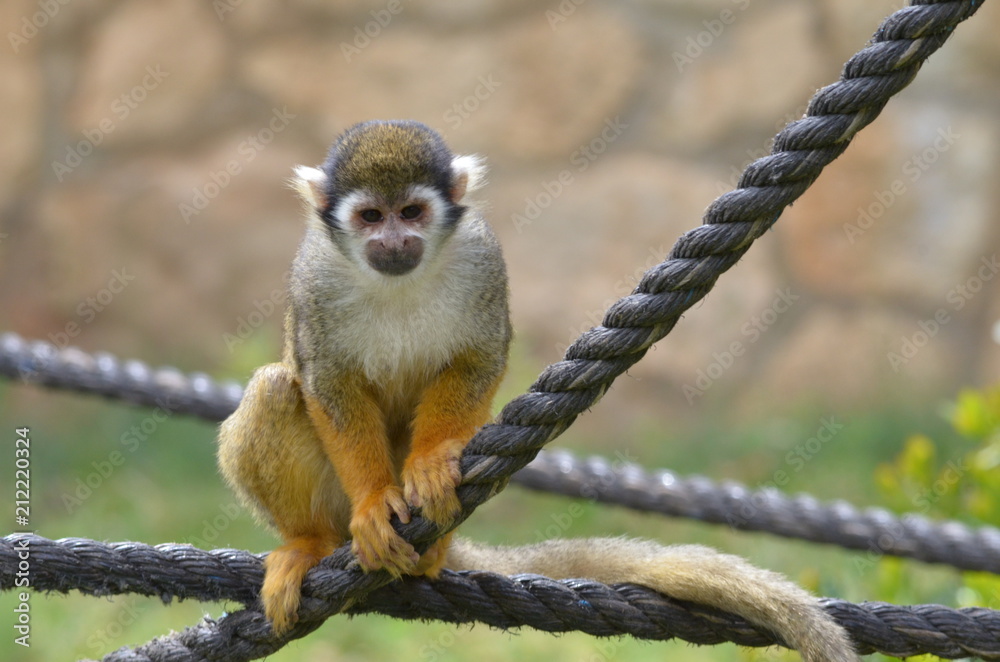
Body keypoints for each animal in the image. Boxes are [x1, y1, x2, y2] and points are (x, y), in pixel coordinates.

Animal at [217, 120, 859, 662]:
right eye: (371, 216)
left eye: (412, 212)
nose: (394, 241)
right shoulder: (315, 278)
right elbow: (326, 380)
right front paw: (376, 500)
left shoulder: (481, 257)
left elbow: (479, 356)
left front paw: (431, 462)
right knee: (275, 387)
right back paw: (310, 543)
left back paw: (424, 546)